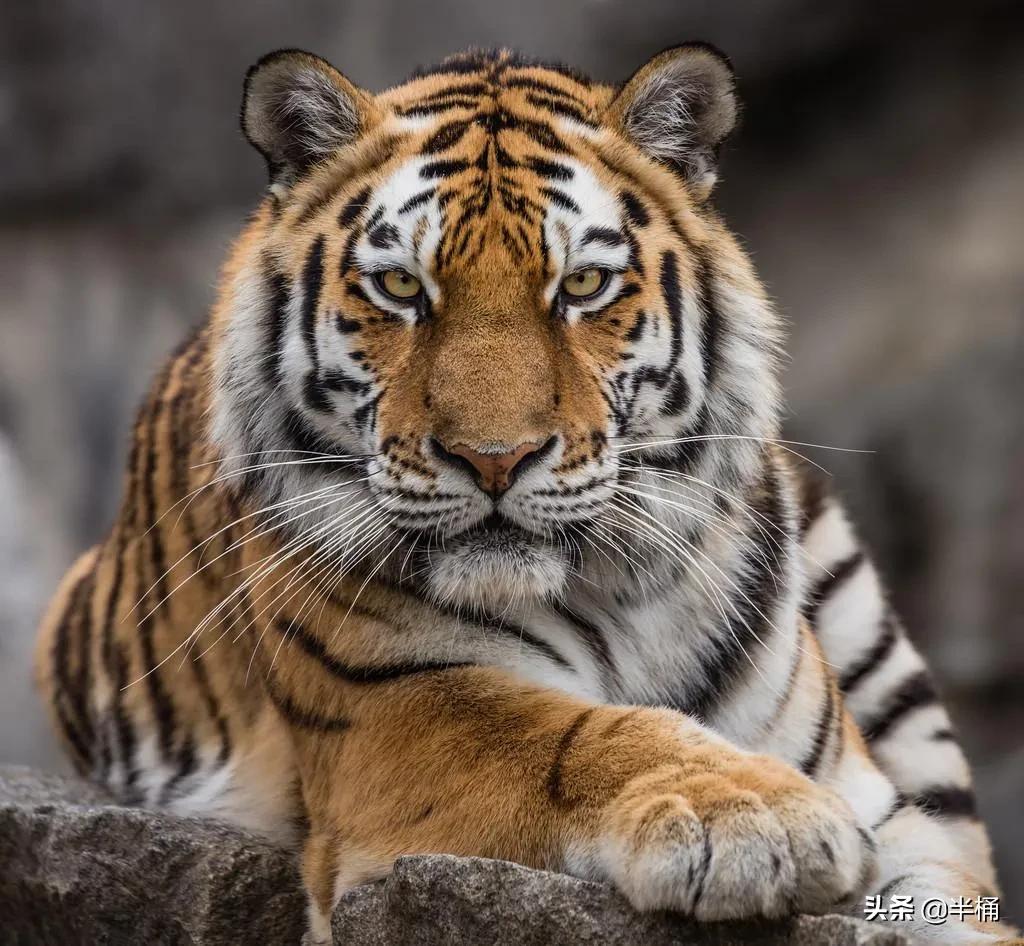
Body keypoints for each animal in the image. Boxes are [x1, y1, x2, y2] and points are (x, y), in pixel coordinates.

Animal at [34, 44, 1017, 944]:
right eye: (401, 287)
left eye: (581, 285)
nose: (494, 459)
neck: (624, 596)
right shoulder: (393, 707)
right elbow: (574, 734)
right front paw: (756, 817)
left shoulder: (900, 821)